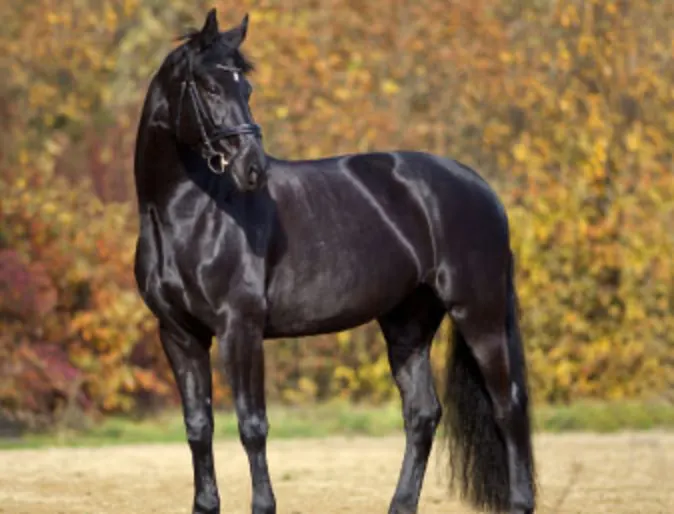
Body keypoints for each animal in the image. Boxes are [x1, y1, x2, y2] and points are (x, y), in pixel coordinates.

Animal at [134, 8, 536, 512]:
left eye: (246, 88)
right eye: (208, 86)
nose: (253, 168)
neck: (190, 214)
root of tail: (481, 188)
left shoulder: (239, 328)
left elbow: (252, 425)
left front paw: (263, 505)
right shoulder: (179, 334)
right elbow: (198, 427)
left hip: (478, 313)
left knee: (508, 406)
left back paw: (520, 501)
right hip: (407, 324)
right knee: (423, 414)